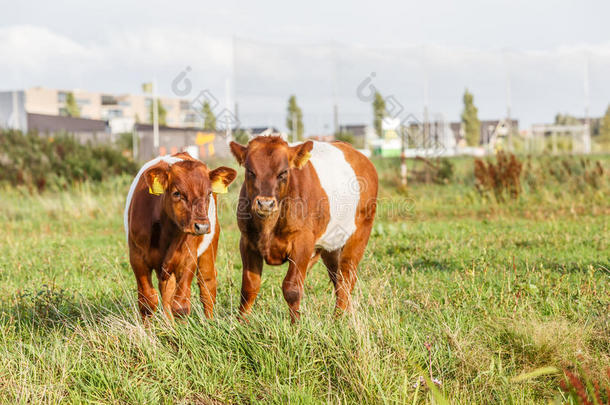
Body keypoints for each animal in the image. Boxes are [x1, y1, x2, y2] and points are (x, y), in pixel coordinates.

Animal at [123, 152, 235, 322]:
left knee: (207, 285)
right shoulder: (137, 257)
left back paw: (209, 322)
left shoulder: (188, 258)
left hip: (210, 246)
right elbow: (148, 301)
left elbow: (180, 304)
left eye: (208, 193)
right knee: (167, 292)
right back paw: (170, 324)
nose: (202, 226)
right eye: (177, 193)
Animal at [230, 137, 378, 320]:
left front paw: (296, 324)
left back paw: (337, 319)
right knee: (337, 278)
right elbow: (249, 286)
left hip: (360, 233)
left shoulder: (302, 243)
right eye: (250, 171)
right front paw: (241, 322)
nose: (265, 203)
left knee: (346, 278)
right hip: (331, 245)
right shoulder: (247, 241)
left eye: (283, 172)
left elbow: (292, 288)